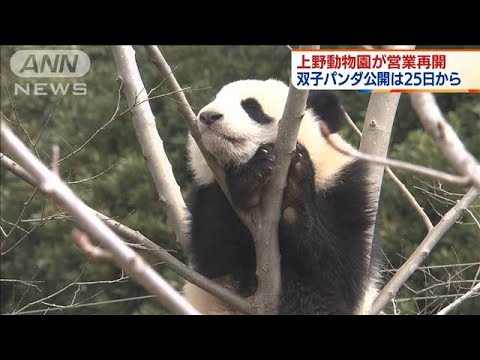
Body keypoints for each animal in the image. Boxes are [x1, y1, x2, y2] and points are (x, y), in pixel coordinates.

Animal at [184, 79, 382, 316]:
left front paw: (296, 185)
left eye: (251, 107)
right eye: (215, 100)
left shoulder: (344, 189)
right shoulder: (207, 190)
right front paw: (251, 180)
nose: (208, 116)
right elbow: (214, 256)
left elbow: (339, 270)